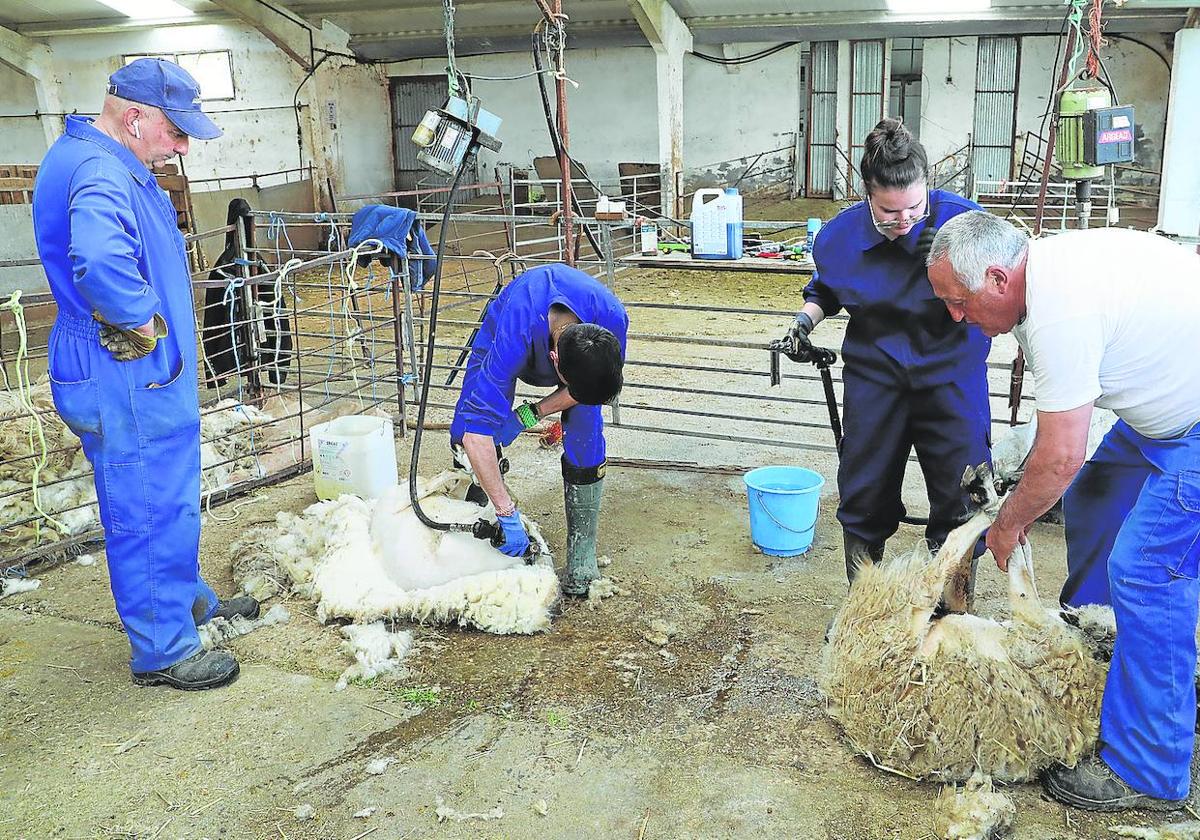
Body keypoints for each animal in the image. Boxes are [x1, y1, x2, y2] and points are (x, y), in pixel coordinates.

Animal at [820, 463, 1108, 782]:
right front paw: (1014, 522)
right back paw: (988, 494)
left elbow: (1020, 574)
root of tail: (838, 689)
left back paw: (988, 500)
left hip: (909, 607)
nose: (1073, 615)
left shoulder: (1033, 629)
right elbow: (1023, 556)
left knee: (952, 544)